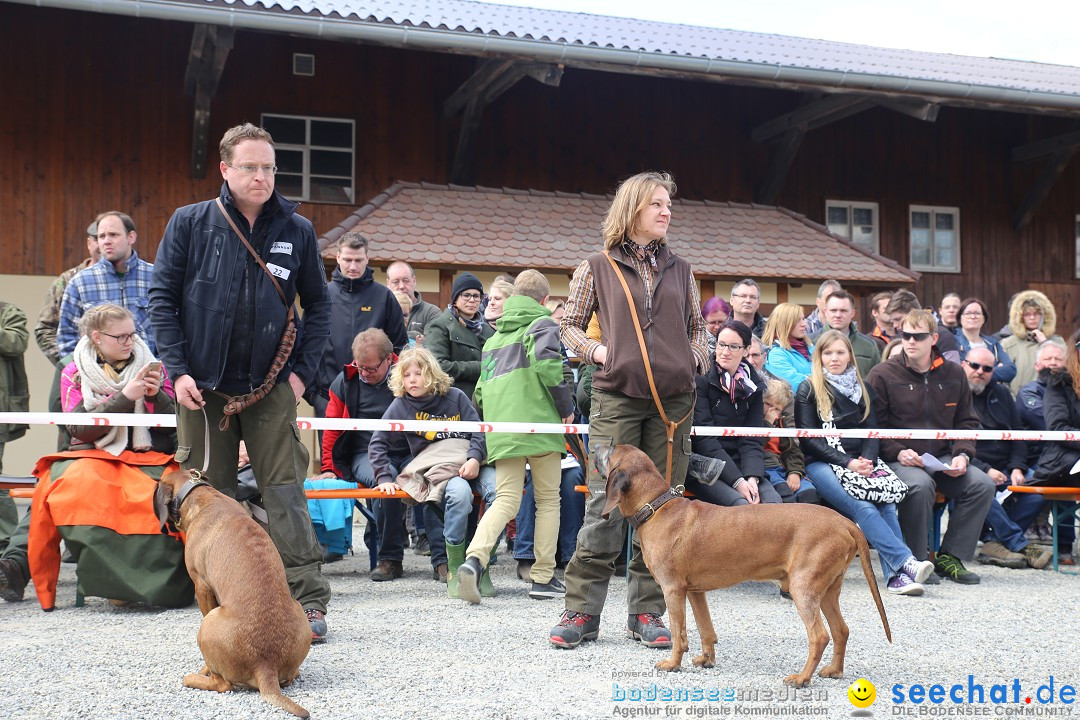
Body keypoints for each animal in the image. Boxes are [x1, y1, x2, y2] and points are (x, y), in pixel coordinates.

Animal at [155, 470, 313, 716]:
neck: (201, 495)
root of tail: (266, 665)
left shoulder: (202, 586)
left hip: (208, 624)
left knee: (222, 684)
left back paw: (193, 678)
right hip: (297, 611)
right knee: (291, 676)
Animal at [596, 444, 889, 686]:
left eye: (611, 451)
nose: (598, 444)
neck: (657, 507)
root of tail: (846, 522)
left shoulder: (673, 590)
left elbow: (680, 634)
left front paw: (673, 663)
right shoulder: (695, 592)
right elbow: (706, 629)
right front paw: (707, 660)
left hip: (804, 589)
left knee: (820, 636)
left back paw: (801, 678)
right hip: (827, 591)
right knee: (841, 630)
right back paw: (834, 671)